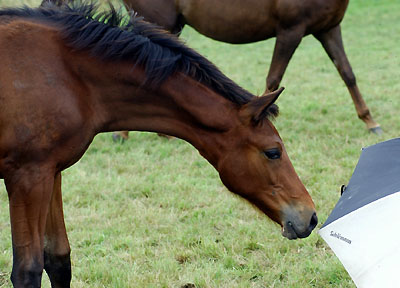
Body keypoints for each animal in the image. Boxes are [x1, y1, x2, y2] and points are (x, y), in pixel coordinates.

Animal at [0, 2, 318, 288]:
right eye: (273, 152)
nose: (311, 217)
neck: (69, 77)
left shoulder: (52, 171)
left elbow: (59, 259)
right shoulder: (28, 177)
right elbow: (27, 271)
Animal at [113, 0, 382, 141]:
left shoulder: (328, 29)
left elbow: (347, 72)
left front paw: (369, 121)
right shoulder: (290, 31)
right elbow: (273, 79)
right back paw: (123, 132)